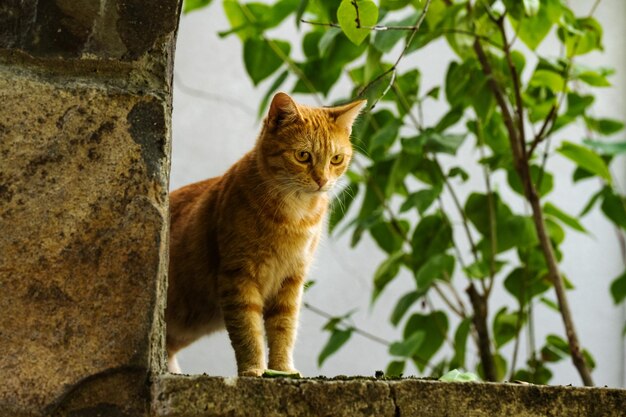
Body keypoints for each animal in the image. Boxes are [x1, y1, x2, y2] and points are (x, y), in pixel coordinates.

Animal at [166, 92, 364, 376]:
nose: (322, 181)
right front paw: (253, 370)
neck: (294, 216)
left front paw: (282, 369)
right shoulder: (238, 277)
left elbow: (284, 328)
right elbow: (248, 331)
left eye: (336, 159)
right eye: (303, 155)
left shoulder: (291, 280)